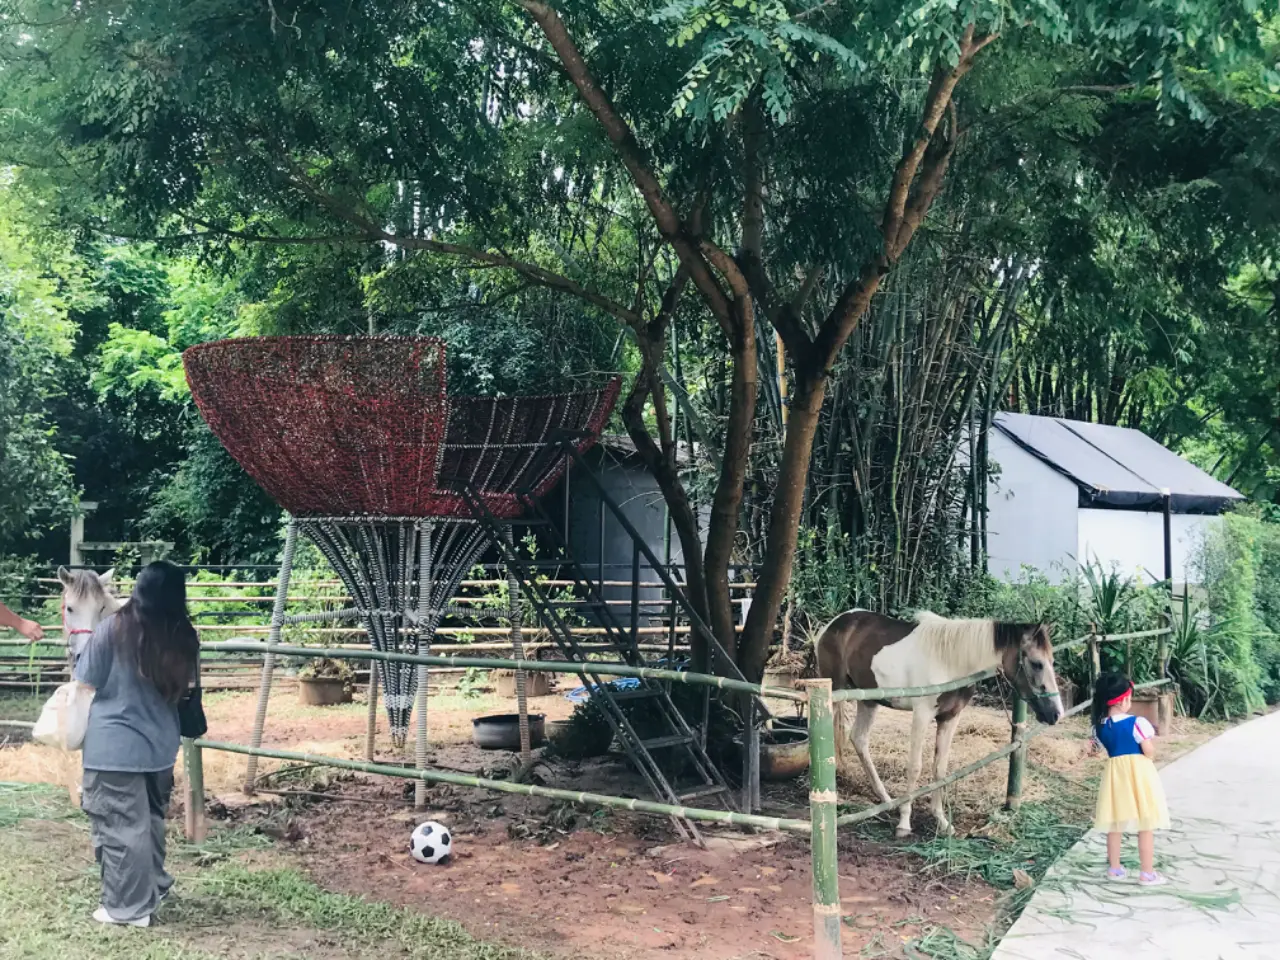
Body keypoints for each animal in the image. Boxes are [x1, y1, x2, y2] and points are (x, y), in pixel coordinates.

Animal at [815, 610, 1064, 838]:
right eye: (1037, 664)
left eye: (1051, 662)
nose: (1056, 714)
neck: (951, 661)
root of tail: (833, 624)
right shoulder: (922, 714)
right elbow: (915, 767)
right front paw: (904, 823)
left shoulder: (949, 718)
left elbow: (940, 768)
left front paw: (942, 821)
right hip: (835, 694)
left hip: (869, 700)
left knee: (859, 739)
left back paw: (885, 798)